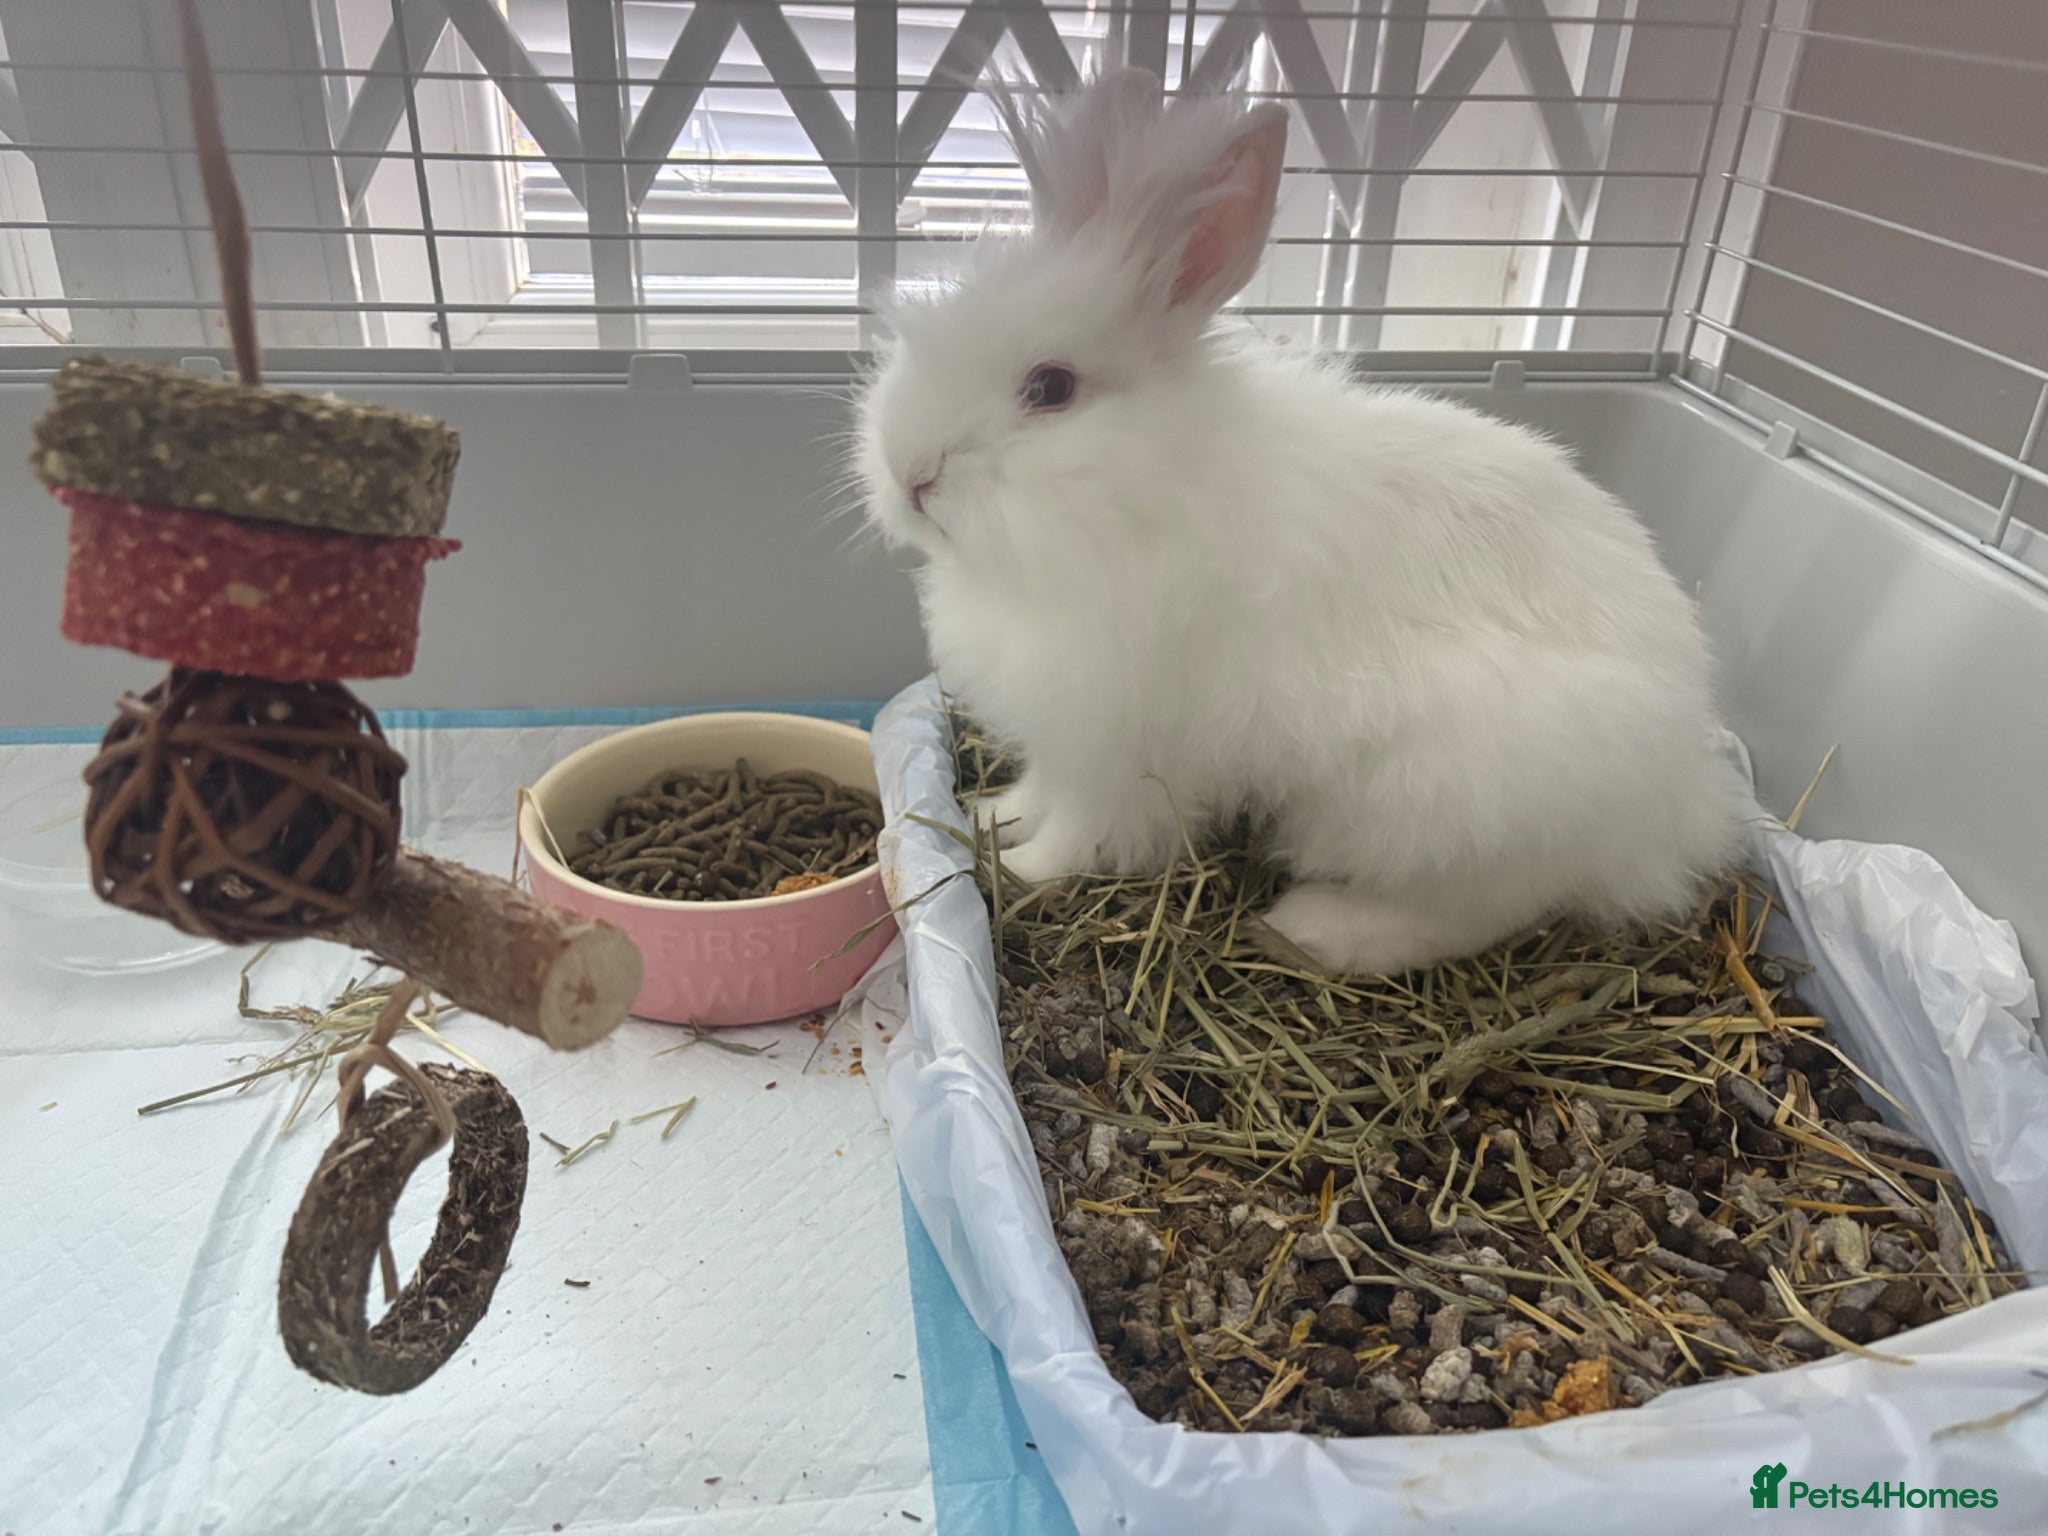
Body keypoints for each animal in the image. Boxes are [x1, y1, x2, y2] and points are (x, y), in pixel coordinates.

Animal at [854, 68, 1743, 977]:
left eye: (1051, 387)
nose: (908, 474)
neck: (1151, 486)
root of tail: (1676, 808)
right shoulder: (1063, 740)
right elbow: (1040, 790)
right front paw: (988, 814)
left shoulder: (1124, 746)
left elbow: (1088, 832)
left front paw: (1022, 869)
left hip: (1433, 804)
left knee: (1477, 909)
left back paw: (1314, 927)